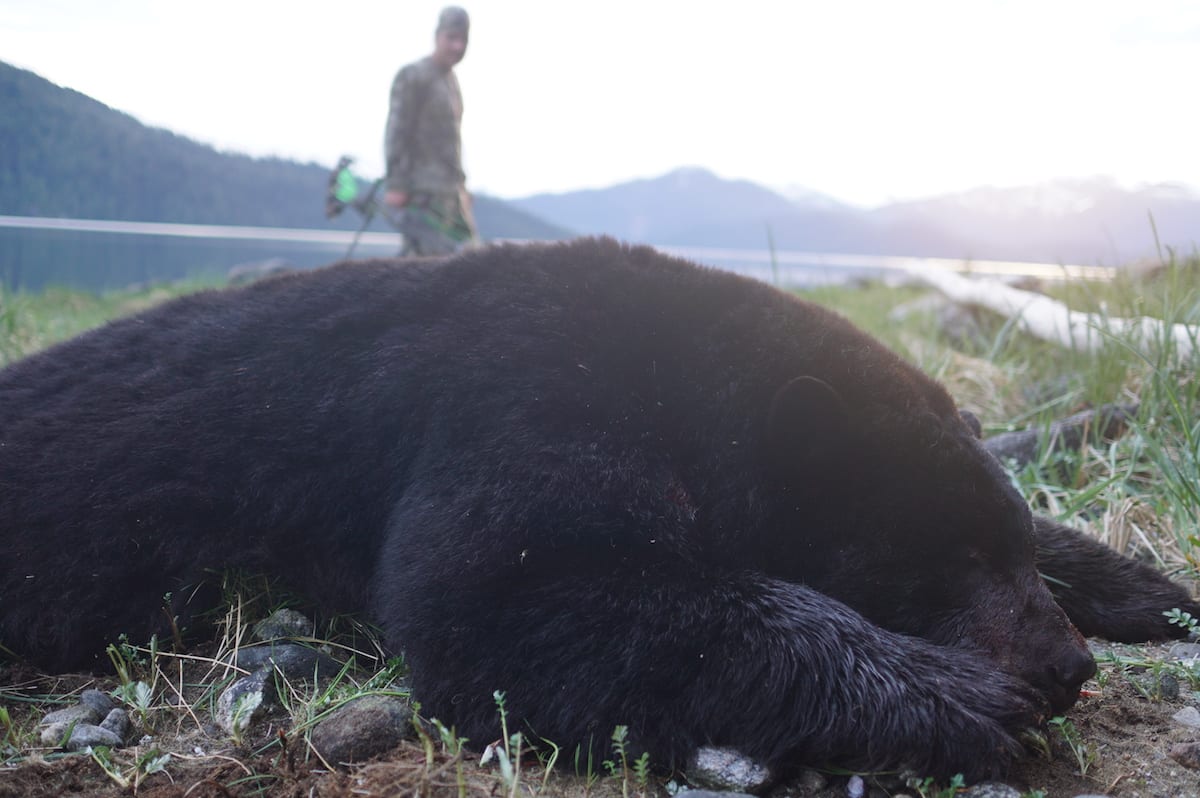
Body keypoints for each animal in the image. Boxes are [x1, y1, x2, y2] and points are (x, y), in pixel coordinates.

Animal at [0, 237, 1195, 777]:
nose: (1066, 666)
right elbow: (511, 604)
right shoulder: (525, 400)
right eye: (947, 559)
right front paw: (960, 696)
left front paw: (1148, 587)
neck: (683, 378)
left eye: (1005, 547)